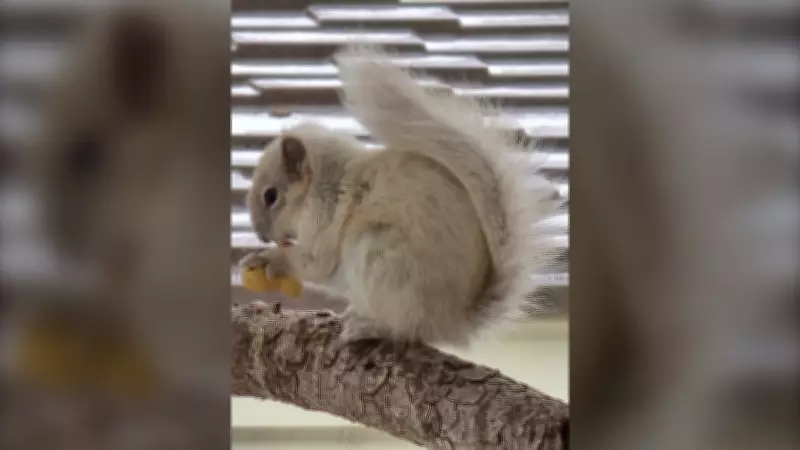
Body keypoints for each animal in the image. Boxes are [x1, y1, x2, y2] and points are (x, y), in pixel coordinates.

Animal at [241, 45, 561, 346]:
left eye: (271, 196)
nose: (260, 235)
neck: (324, 182)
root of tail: (451, 322)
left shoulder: (323, 215)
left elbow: (317, 262)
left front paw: (271, 259)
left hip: (381, 258)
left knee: (405, 328)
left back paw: (369, 327)